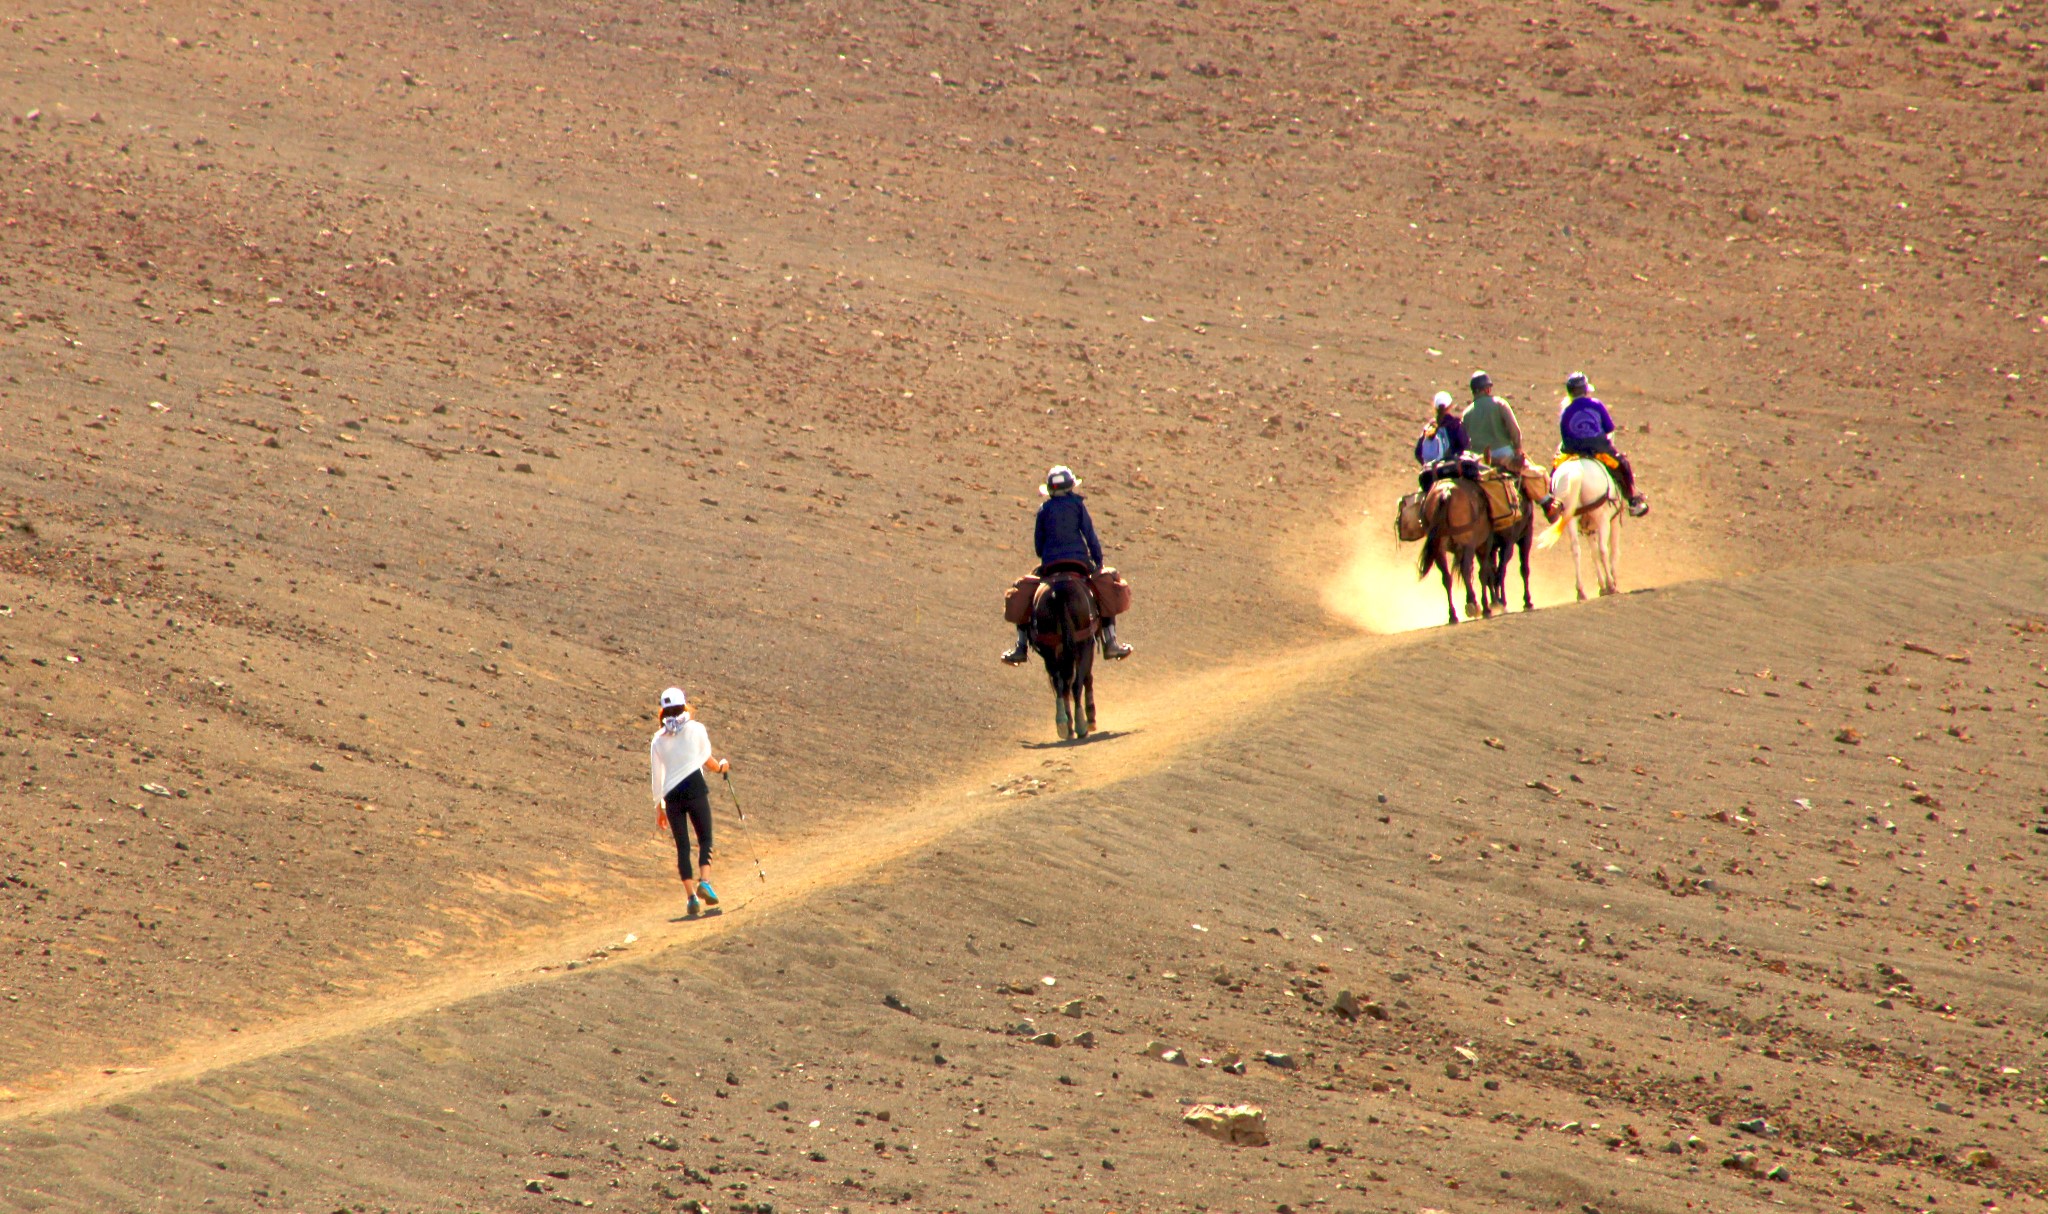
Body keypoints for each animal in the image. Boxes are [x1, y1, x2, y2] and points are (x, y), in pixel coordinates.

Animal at [1032, 560, 1097, 736]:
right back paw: (1081, 725)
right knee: (1075, 684)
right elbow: (1087, 677)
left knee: (1060, 683)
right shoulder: (1088, 644)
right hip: (1082, 644)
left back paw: (1063, 724)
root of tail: (1058, 594)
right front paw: (1091, 718)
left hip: (1049, 647)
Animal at [1531, 456, 1622, 597]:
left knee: (1576, 550)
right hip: (1602, 518)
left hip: (1571, 520)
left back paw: (1581, 591)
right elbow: (1613, 550)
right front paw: (1611, 582)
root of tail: (1576, 471)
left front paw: (1602, 586)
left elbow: (1593, 554)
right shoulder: (1614, 520)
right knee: (1603, 549)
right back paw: (1611, 585)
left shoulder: (1589, 529)